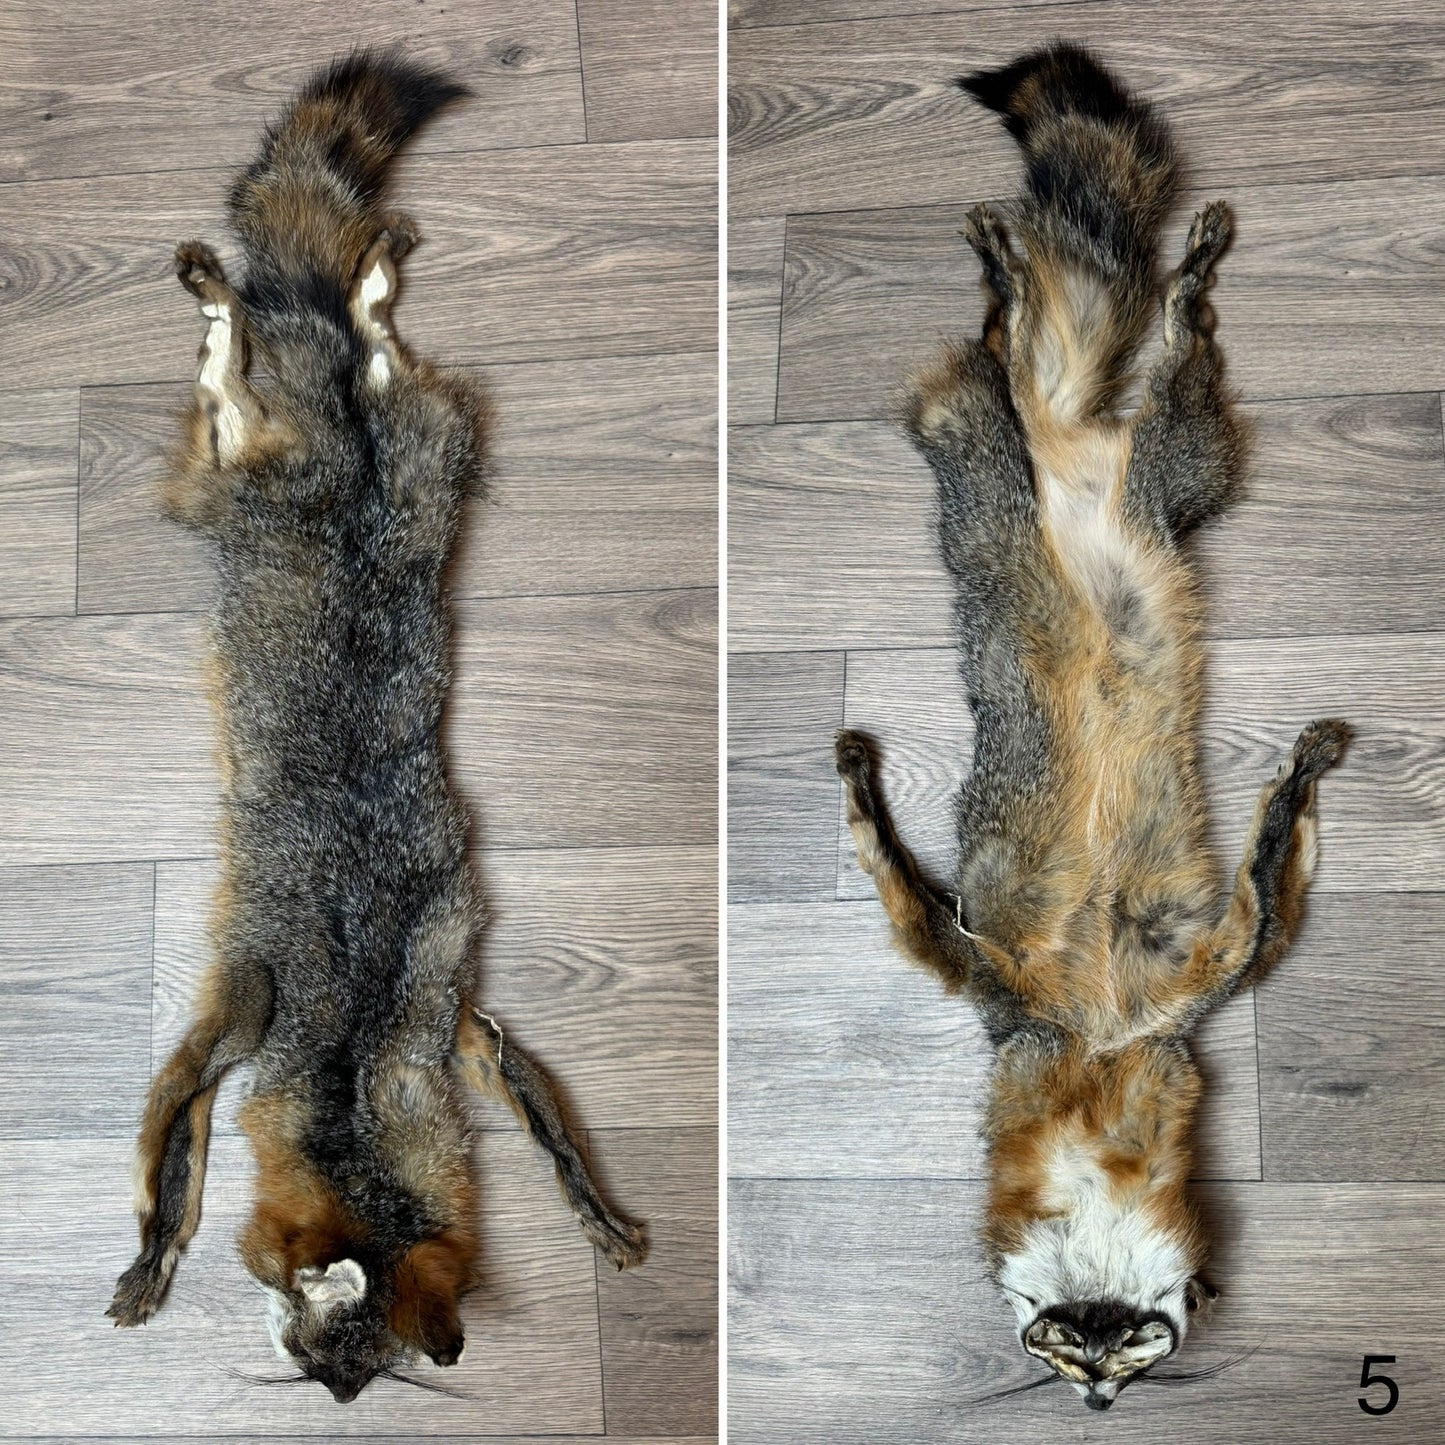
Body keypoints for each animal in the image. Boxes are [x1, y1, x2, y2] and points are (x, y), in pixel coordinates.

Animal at [106, 51, 645, 1402]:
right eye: (316, 1356)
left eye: (349, 1369)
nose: (341, 1404)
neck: (348, 1067)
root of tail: (342, 452)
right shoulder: (245, 1001)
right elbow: (175, 1160)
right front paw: (153, 1253)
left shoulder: (456, 1015)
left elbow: (551, 1130)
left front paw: (597, 1215)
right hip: (236, 482)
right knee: (240, 368)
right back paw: (224, 296)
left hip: (414, 446)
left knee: (363, 334)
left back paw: (347, 288)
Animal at [835, 42, 1348, 1411]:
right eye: (1065, 1343)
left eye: (1132, 1341)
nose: (1100, 1399)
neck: (1101, 1065)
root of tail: (1075, 453)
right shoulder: (1008, 993)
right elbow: (908, 891)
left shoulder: (1189, 993)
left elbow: (1268, 887)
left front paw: (1292, 784)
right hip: (995, 473)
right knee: (1003, 367)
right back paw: (1012, 285)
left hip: (1172, 471)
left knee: (1154, 359)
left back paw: (1144, 286)